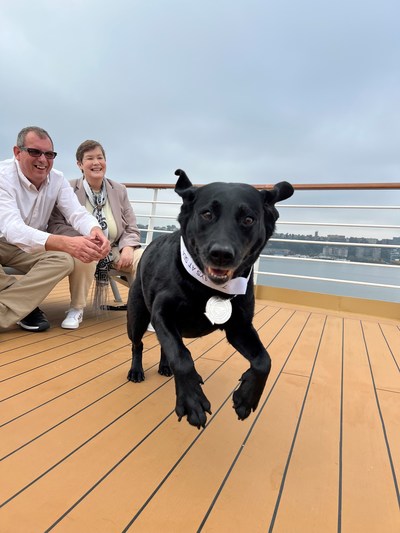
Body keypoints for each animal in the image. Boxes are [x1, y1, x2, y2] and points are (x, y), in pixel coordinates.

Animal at [128, 170, 294, 428]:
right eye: (207, 214)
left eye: (248, 219)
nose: (221, 254)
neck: (205, 288)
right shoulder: (161, 314)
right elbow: (182, 357)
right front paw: (192, 400)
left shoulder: (239, 327)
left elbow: (263, 361)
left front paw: (246, 397)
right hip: (136, 317)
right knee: (139, 344)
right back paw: (136, 371)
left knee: (165, 347)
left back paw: (165, 367)